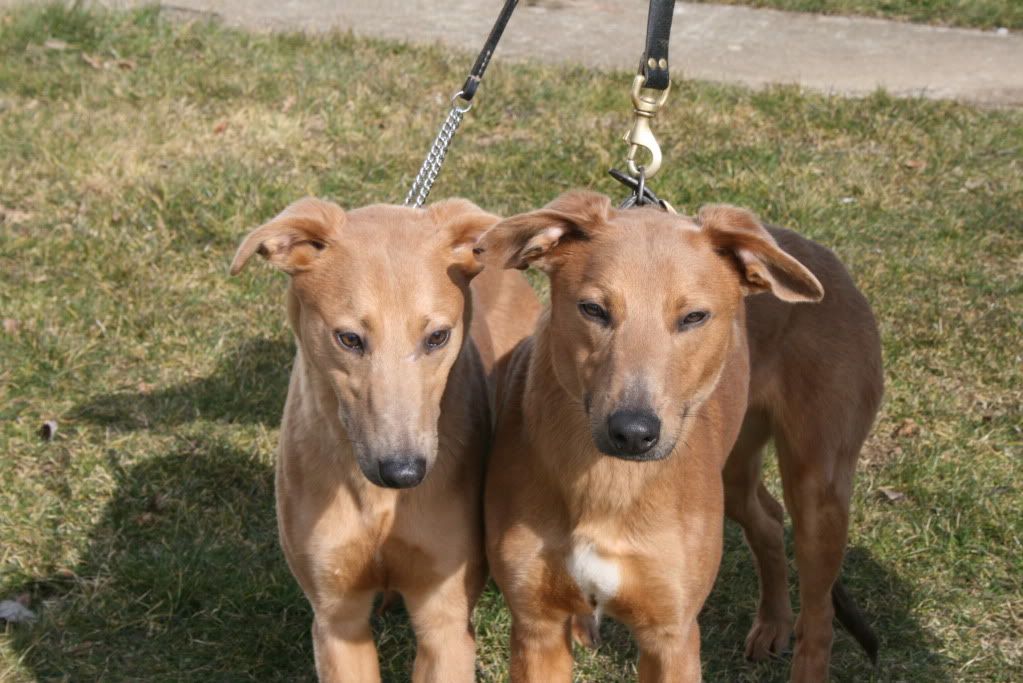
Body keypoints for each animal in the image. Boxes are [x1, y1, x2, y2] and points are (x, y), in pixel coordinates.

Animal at [229, 194, 540, 678]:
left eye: (438, 336)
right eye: (349, 338)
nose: (403, 472)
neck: (377, 504)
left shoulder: (445, 620)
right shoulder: (337, 620)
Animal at [476, 189, 879, 678]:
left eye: (694, 317)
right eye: (593, 309)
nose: (633, 433)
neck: (608, 484)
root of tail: (821, 255)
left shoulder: (672, 636)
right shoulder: (537, 627)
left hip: (819, 489)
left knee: (819, 622)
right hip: (734, 471)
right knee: (767, 518)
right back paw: (772, 623)